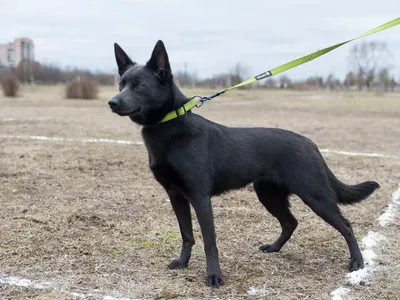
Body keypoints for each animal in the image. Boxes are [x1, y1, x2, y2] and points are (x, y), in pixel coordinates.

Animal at [108, 39, 380, 286]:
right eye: (121, 84)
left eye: (140, 85)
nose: (112, 102)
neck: (170, 127)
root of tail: (310, 144)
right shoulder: (176, 196)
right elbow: (187, 235)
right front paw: (183, 262)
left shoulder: (200, 197)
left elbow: (209, 241)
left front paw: (214, 276)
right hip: (268, 194)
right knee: (290, 222)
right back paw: (274, 248)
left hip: (315, 196)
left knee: (346, 225)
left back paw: (357, 262)